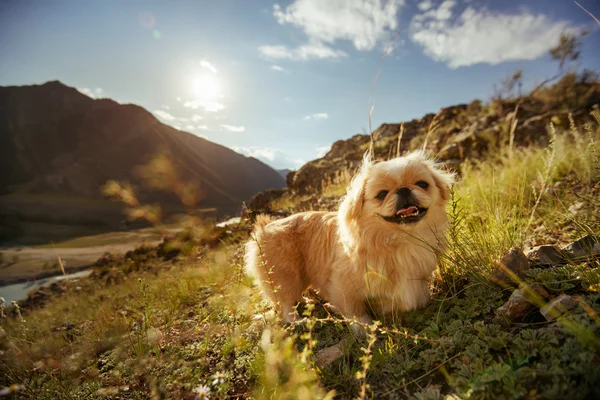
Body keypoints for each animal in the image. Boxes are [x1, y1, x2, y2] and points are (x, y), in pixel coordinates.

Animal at [245, 150, 454, 332]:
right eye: (381, 194)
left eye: (422, 184)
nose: (403, 189)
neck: (398, 241)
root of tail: (264, 228)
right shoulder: (342, 283)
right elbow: (354, 309)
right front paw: (364, 328)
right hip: (285, 276)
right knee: (286, 305)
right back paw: (299, 320)